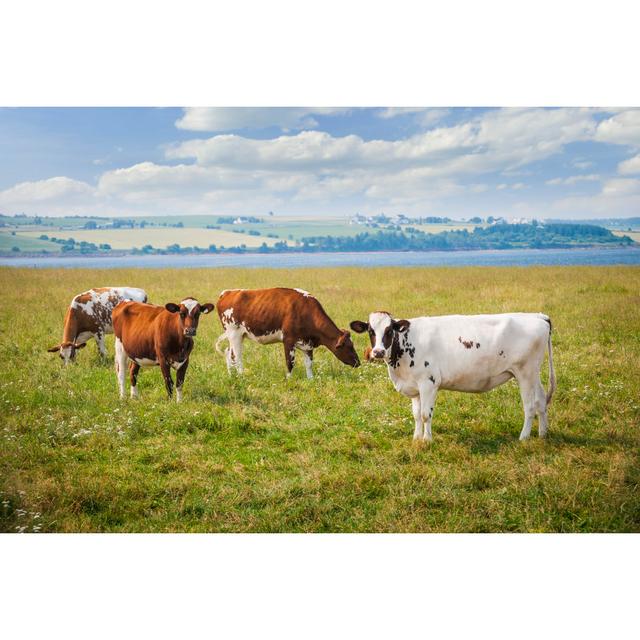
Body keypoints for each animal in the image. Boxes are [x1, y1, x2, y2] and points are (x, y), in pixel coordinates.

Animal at [215, 288, 360, 378]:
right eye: (349, 346)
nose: (358, 362)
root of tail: (227, 293)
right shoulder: (288, 340)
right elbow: (290, 362)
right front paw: (289, 379)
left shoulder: (308, 344)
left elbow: (309, 363)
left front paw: (311, 379)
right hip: (234, 333)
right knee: (237, 356)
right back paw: (241, 375)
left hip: (238, 335)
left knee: (229, 353)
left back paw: (232, 375)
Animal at [350, 312, 556, 442]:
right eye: (371, 331)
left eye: (389, 330)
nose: (377, 352)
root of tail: (537, 316)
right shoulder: (415, 386)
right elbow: (416, 415)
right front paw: (416, 438)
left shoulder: (429, 383)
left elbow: (425, 415)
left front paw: (427, 440)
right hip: (533, 373)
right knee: (541, 401)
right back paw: (543, 434)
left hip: (525, 373)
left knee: (530, 406)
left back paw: (524, 437)